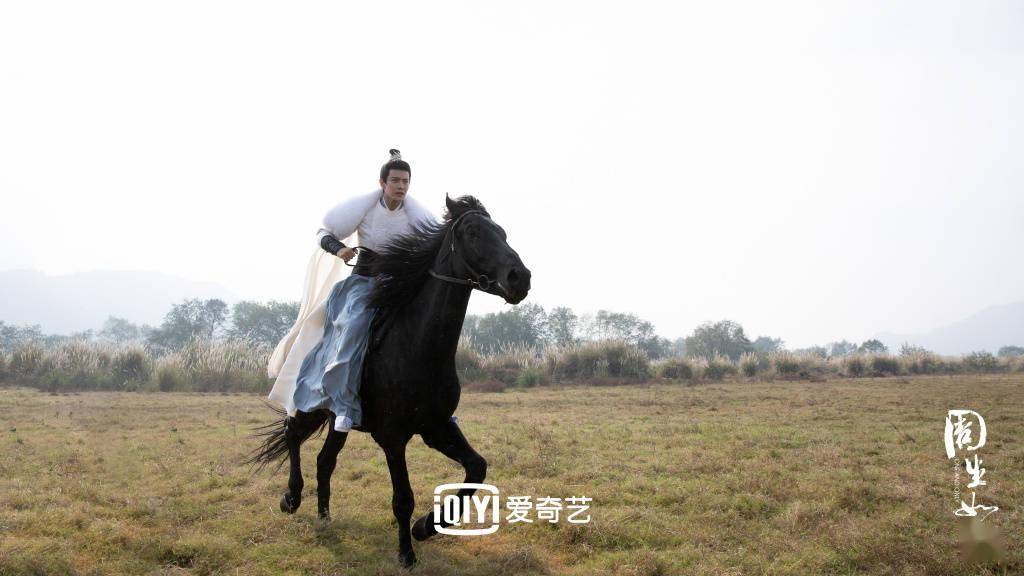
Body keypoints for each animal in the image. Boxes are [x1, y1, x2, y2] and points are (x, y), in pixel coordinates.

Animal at [248, 194, 531, 567]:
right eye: (473, 232)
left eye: (501, 231)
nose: (520, 278)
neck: (418, 347)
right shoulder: (393, 437)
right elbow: (403, 498)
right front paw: (407, 553)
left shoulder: (436, 426)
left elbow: (476, 469)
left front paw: (426, 527)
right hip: (310, 405)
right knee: (292, 434)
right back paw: (291, 498)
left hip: (340, 418)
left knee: (325, 460)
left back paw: (325, 516)